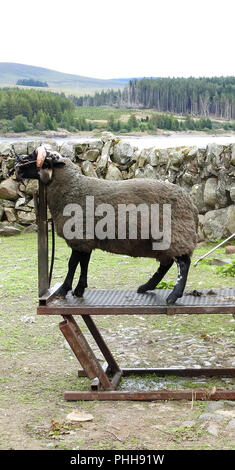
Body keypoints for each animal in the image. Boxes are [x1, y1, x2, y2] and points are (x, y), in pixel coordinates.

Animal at [15, 144, 198, 304]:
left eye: (37, 159)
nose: (17, 167)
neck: (72, 187)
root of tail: (191, 204)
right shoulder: (86, 240)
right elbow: (84, 264)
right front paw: (79, 289)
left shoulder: (79, 236)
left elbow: (72, 264)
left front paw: (63, 290)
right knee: (166, 264)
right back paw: (146, 287)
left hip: (176, 235)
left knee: (183, 264)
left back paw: (173, 295)